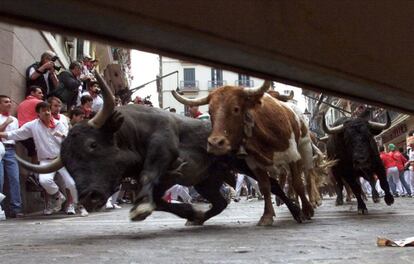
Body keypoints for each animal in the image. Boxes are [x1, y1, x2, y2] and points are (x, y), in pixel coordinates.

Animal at [173, 82, 316, 225]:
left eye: (236, 109)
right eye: (210, 111)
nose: (215, 143)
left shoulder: (292, 155)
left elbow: (298, 183)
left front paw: (307, 210)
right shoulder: (254, 164)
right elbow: (265, 186)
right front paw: (267, 216)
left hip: (304, 150)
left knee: (306, 177)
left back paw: (311, 203)